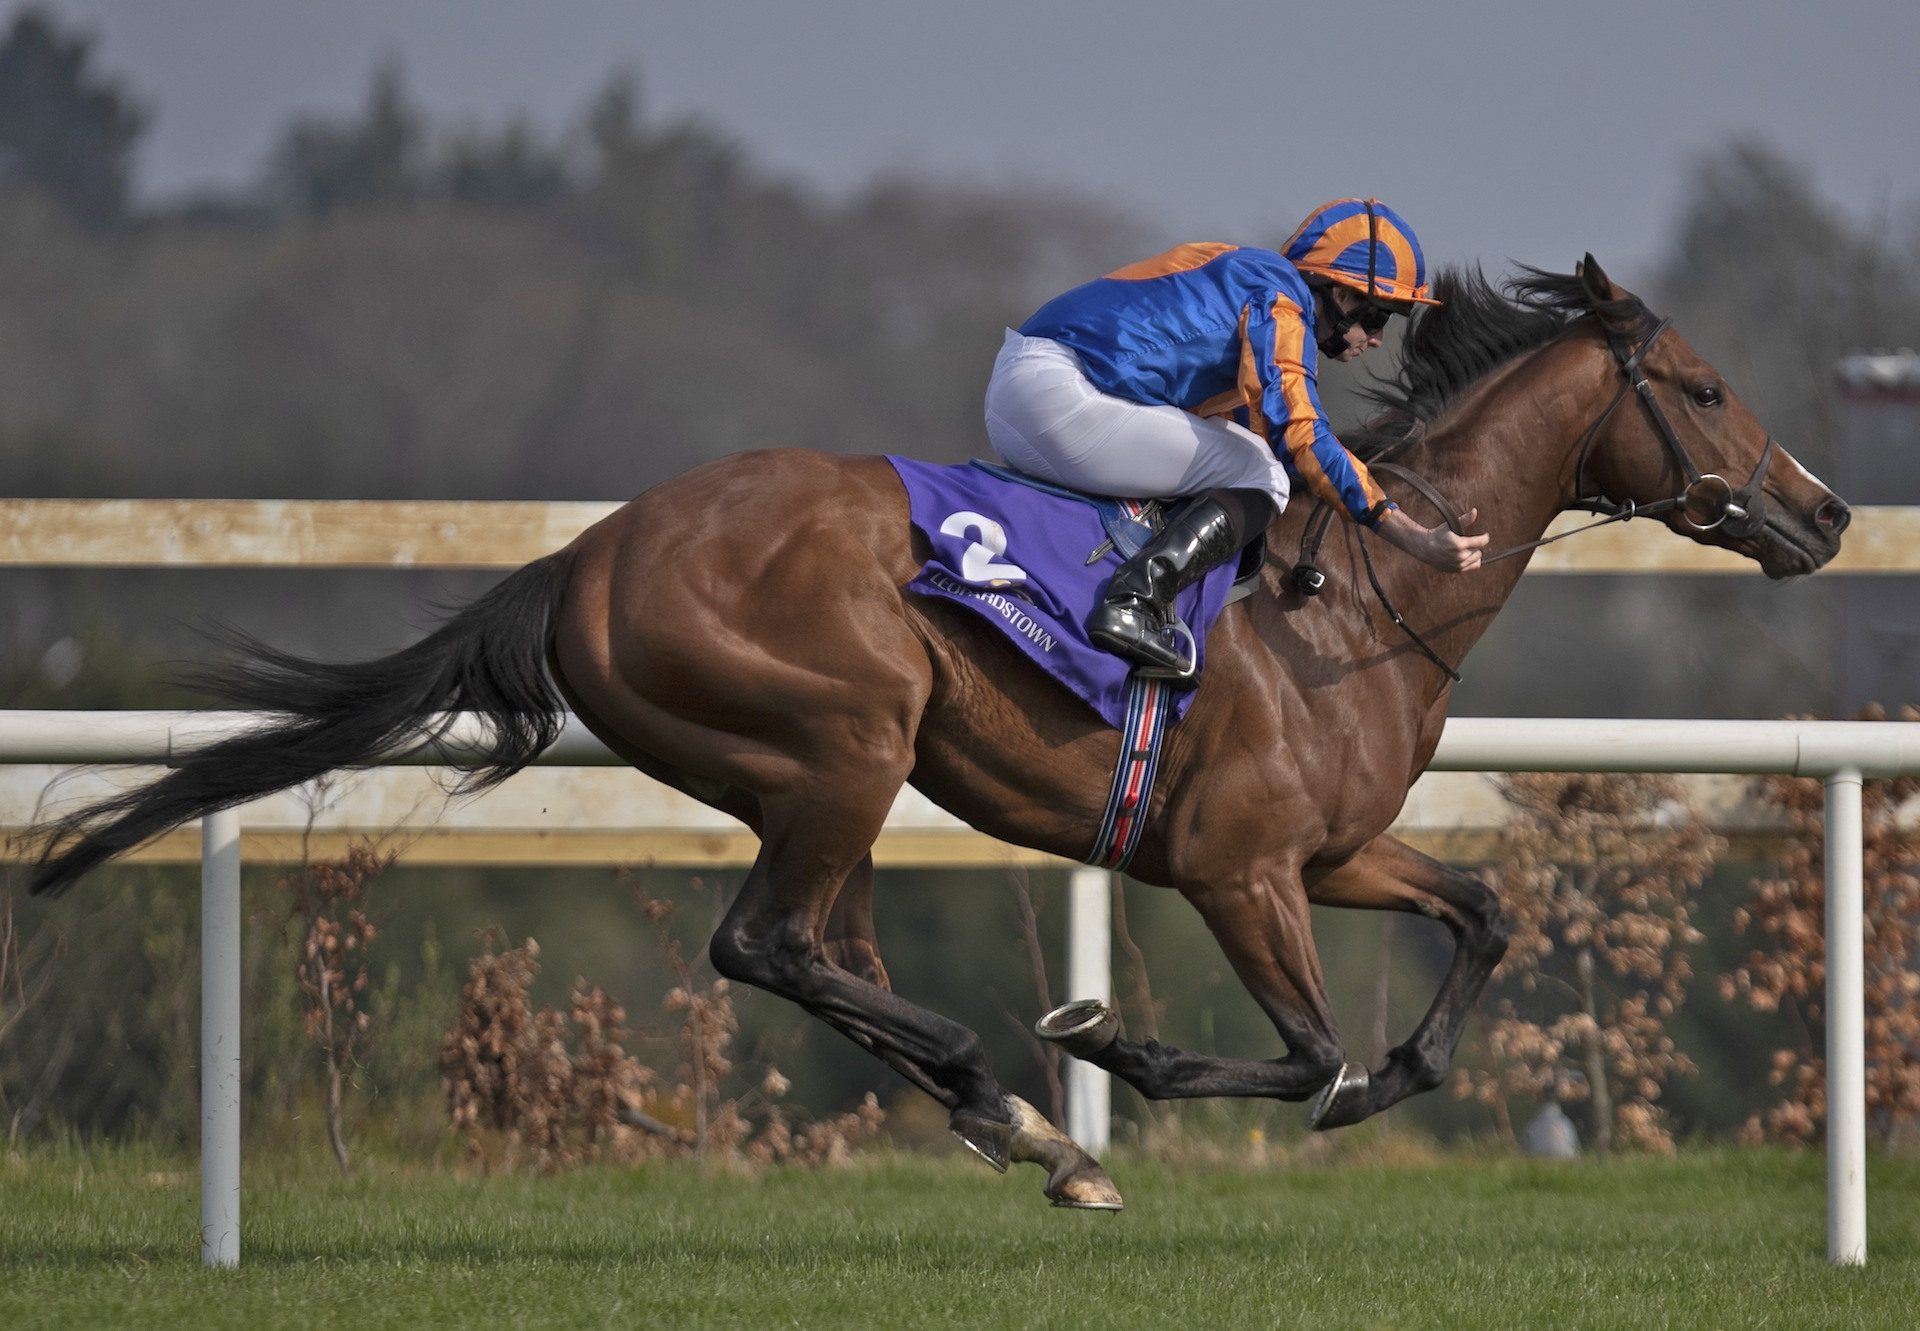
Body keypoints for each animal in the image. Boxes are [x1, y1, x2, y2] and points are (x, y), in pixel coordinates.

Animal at [26, 253, 1843, 1206]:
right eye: (1699, 385)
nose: (1823, 513)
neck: (1360, 594)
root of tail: (591, 554)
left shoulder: (1335, 848)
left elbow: (1482, 919)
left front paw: (1391, 1070)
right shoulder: (1238, 865)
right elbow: (1307, 1048)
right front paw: (1111, 1049)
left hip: (822, 774)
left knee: (821, 950)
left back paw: (1011, 1120)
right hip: (847, 740)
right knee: (765, 944)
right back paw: (1008, 1091)